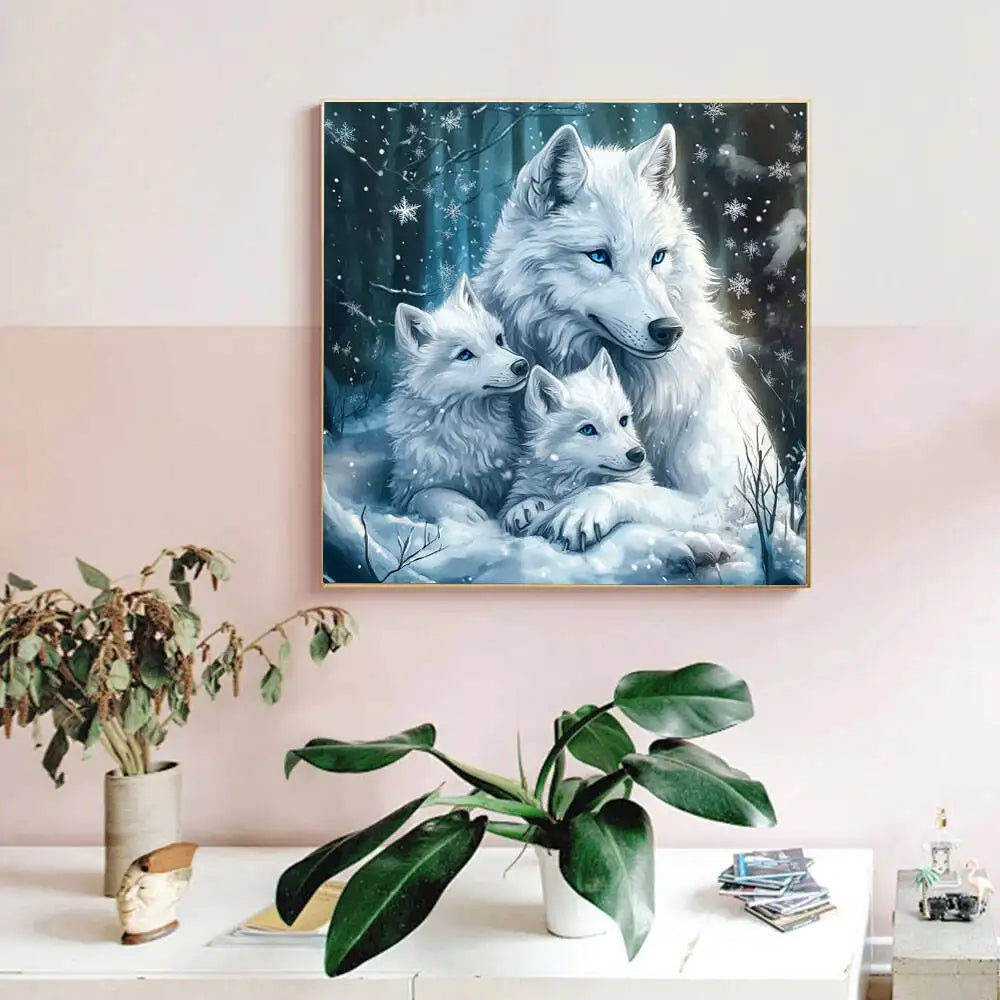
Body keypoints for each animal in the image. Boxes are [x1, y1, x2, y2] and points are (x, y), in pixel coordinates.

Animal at [386, 274, 529, 523]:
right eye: (464, 355)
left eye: (498, 340)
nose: (521, 366)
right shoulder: (406, 487)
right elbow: (430, 494)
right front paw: (466, 509)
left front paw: (522, 507)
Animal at [474, 122, 771, 536]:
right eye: (599, 256)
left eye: (658, 257)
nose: (669, 330)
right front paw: (529, 504)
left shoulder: (722, 502)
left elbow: (632, 489)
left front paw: (581, 508)